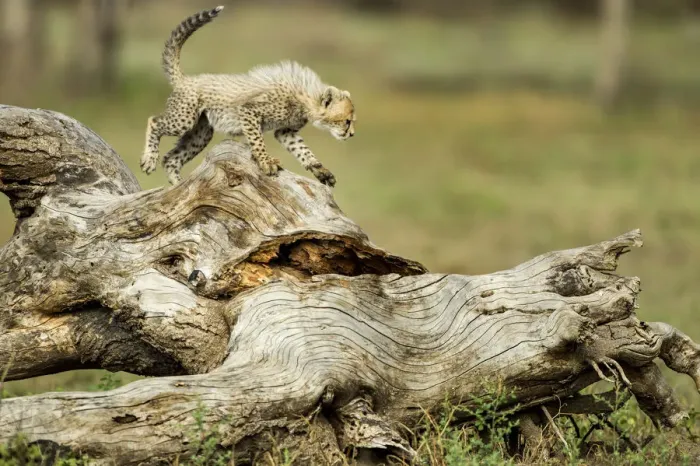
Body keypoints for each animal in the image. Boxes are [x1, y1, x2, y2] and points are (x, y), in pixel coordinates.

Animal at [139, 5, 356, 187]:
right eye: (347, 121)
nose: (352, 134)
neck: (305, 99)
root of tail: (187, 79)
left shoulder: (286, 131)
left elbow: (303, 151)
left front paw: (321, 171)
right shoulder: (249, 112)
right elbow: (258, 141)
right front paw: (267, 162)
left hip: (201, 133)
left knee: (171, 158)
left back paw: (180, 188)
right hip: (184, 119)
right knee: (154, 121)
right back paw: (149, 160)